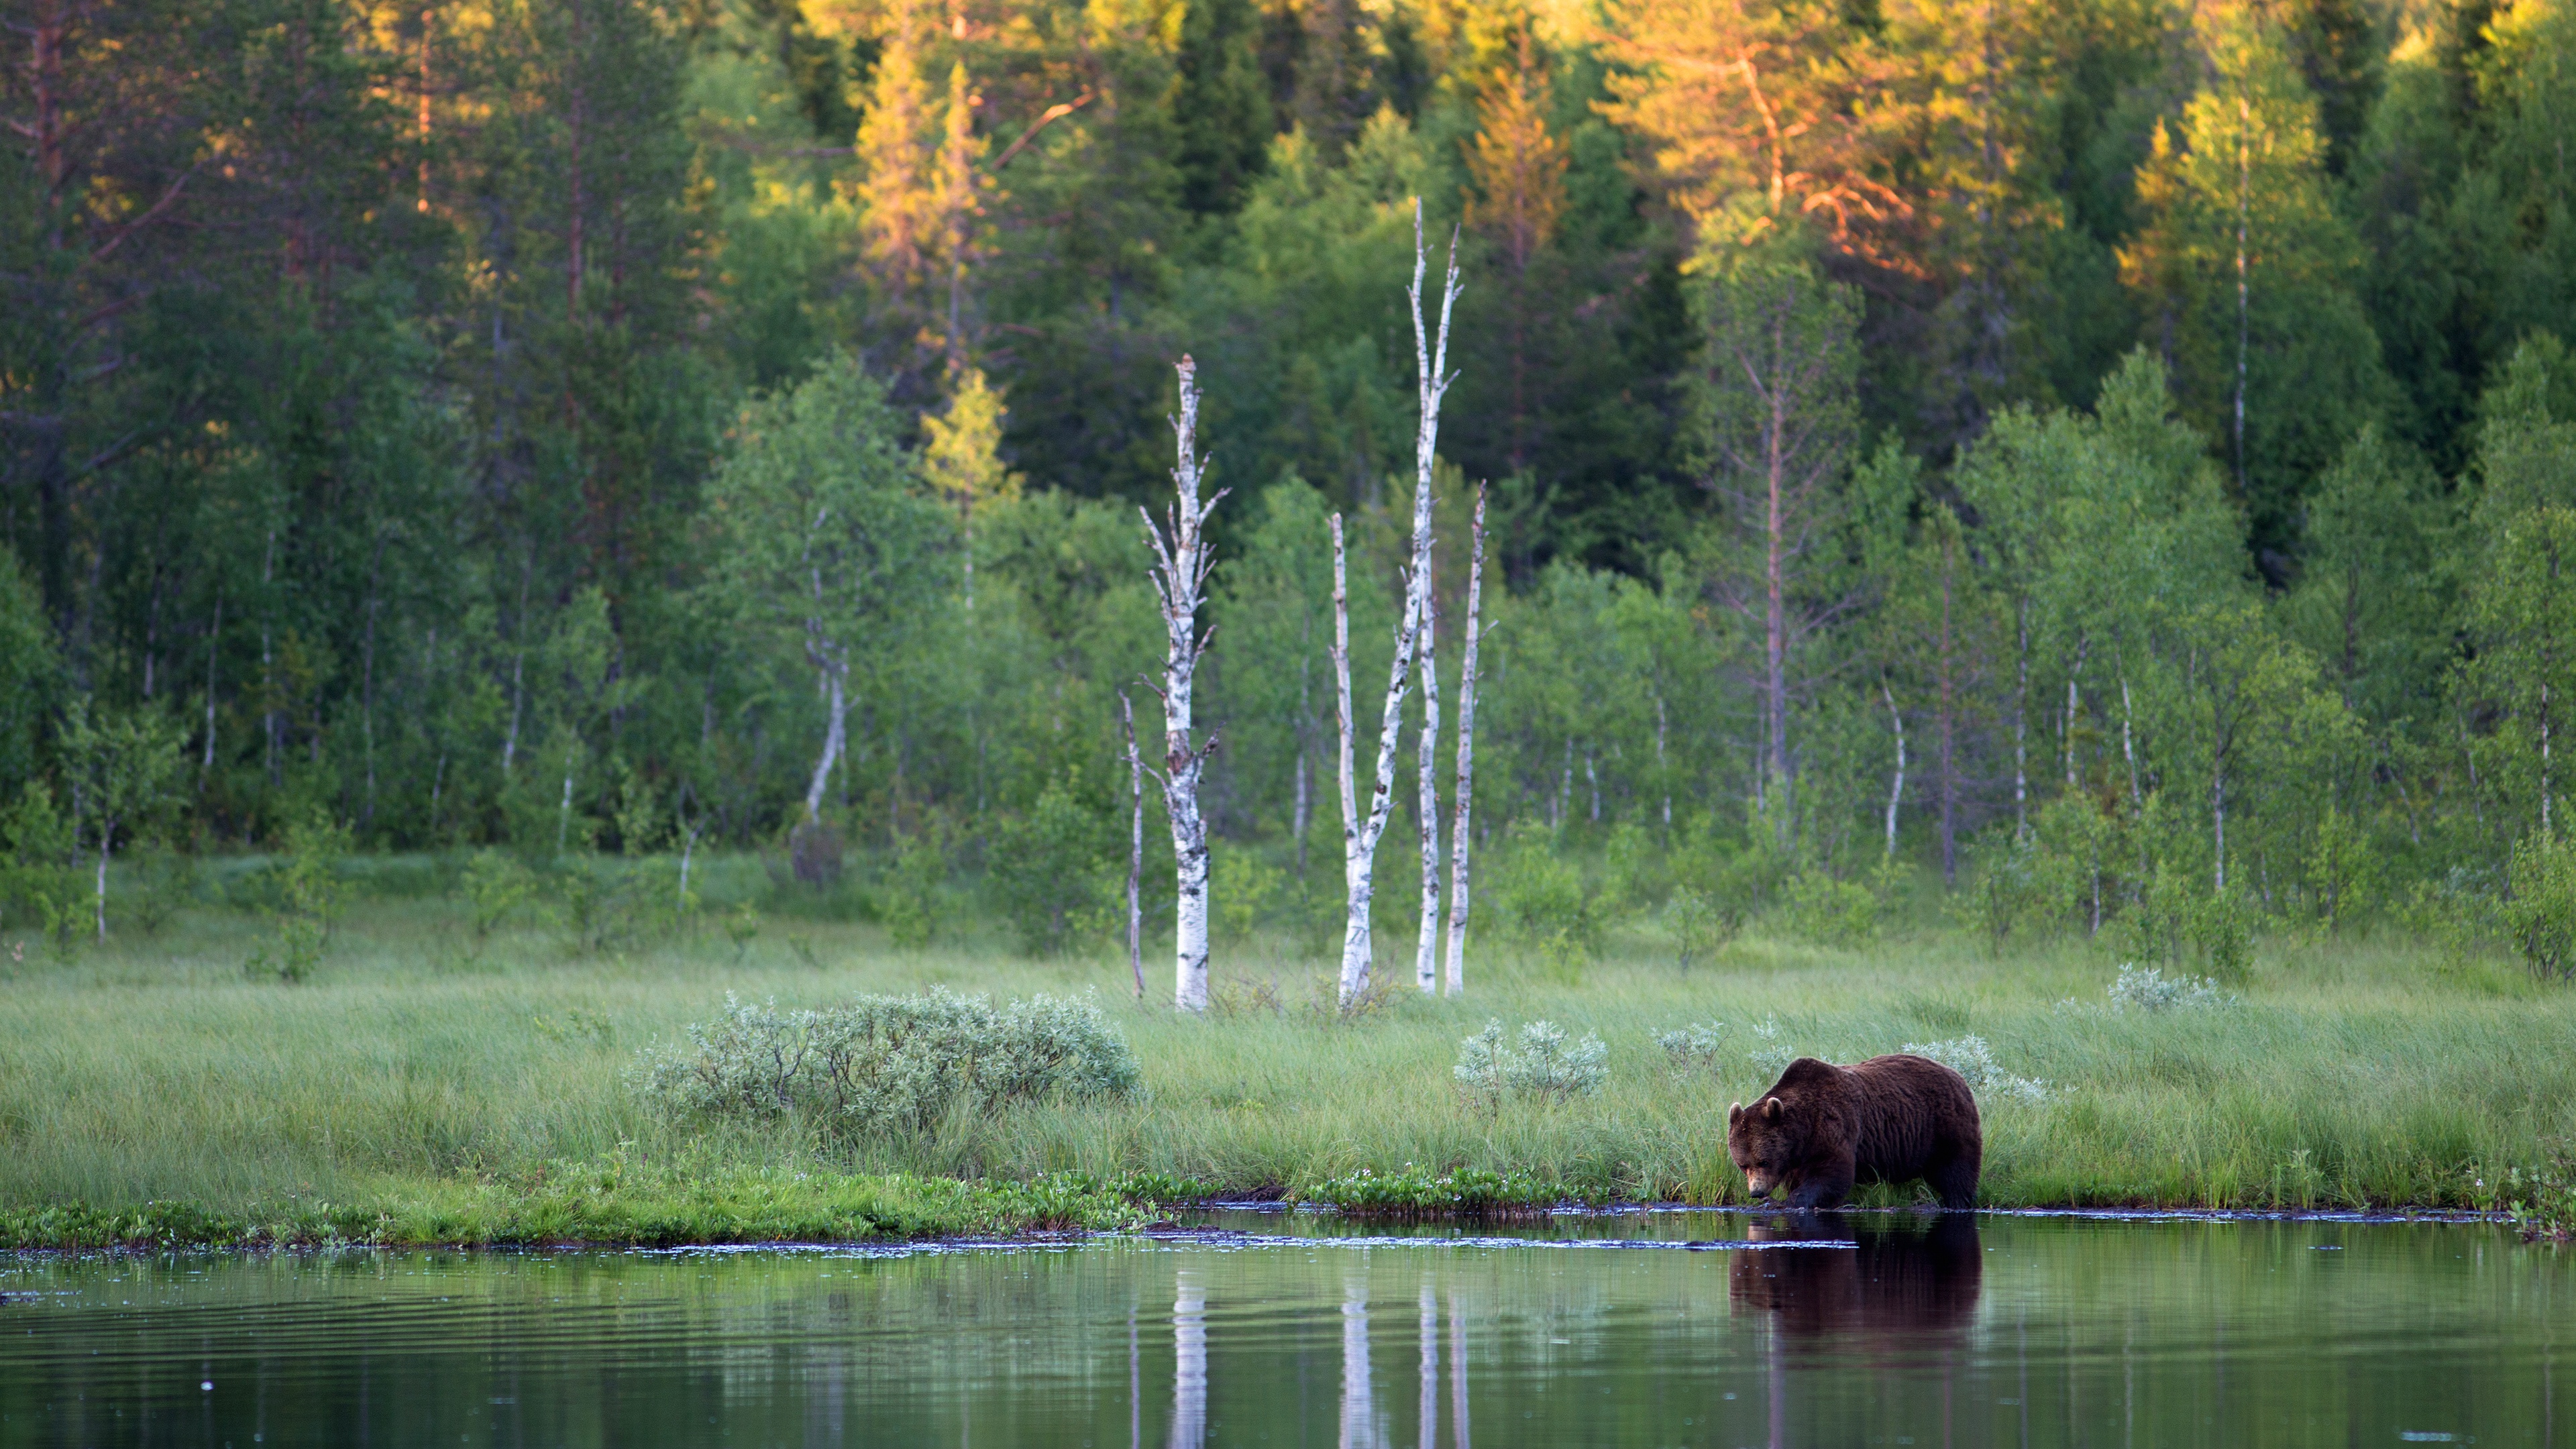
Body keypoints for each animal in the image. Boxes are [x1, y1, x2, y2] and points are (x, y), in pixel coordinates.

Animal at [1731, 1046, 1988, 1206]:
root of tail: (1957, 1075)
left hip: (1944, 1126)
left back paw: (1958, 1200)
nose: (1756, 1192)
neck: (1803, 1131)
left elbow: (1832, 1172)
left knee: (1956, 1168)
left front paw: (1796, 1201)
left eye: (1764, 1161)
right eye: (1743, 1165)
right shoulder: (1797, 1153)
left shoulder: (1833, 1125)